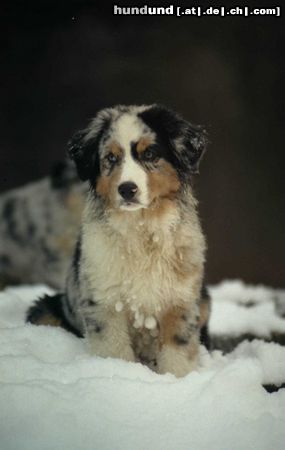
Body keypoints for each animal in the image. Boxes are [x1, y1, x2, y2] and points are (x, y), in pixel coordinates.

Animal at [27, 105, 209, 376]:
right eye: (111, 158)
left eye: (150, 153)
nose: (127, 189)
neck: (141, 230)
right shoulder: (105, 302)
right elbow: (114, 350)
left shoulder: (180, 302)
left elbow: (177, 355)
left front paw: (177, 381)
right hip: (45, 309)